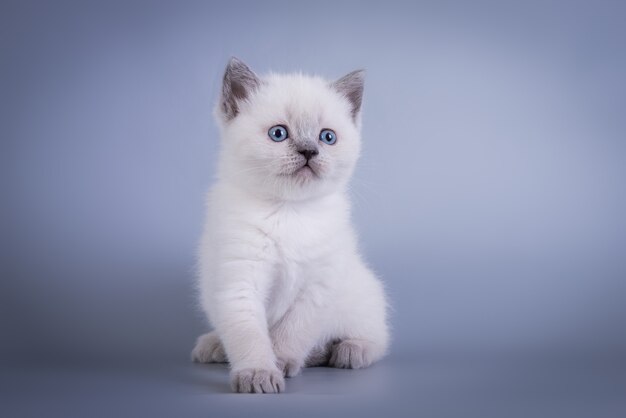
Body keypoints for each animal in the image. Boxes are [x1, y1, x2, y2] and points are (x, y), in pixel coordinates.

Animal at [190, 57, 388, 394]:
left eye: (327, 137)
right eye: (279, 133)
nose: (309, 151)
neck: (289, 211)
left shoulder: (318, 286)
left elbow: (292, 331)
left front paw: (280, 362)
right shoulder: (240, 280)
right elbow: (248, 334)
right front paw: (258, 372)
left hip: (360, 296)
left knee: (376, 336)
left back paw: (349, 350)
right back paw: (215, 346)